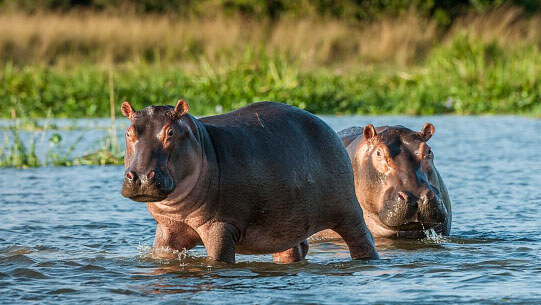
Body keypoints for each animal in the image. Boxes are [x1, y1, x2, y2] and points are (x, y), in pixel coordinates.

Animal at [120, 99, 378, 262]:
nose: (140, 177)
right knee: (293, 250)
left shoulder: (220, 226)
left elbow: (219, 260)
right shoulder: (167, 228)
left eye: (170, 132)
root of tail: (327, 127)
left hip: (348, 212)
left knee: (362, 240)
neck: (201, 142)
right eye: (128, 132)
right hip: (286, 224)